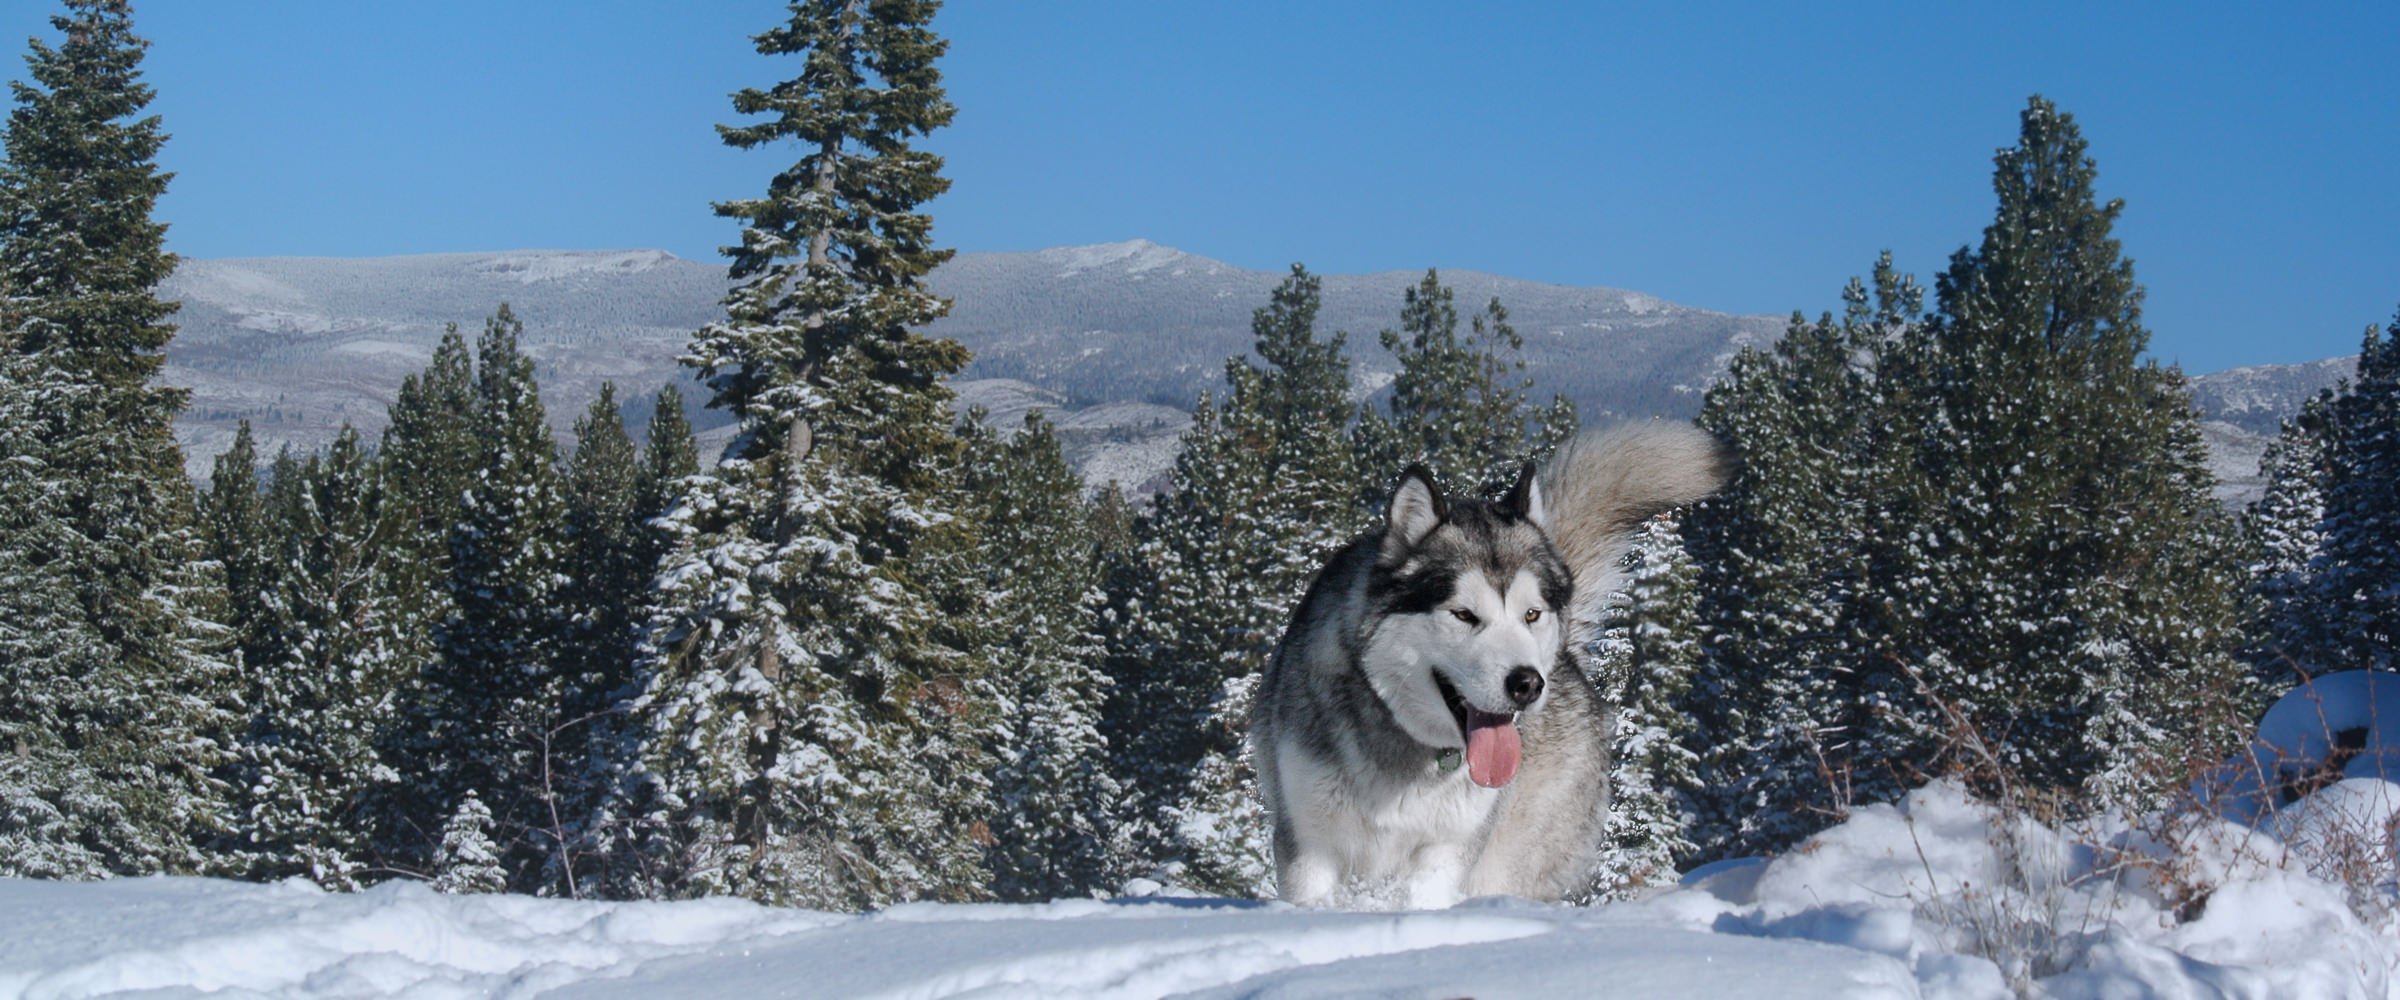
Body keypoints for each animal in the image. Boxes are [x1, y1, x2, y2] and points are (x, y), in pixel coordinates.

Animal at [1248, 422, 1737, 901]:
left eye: (1531, 614)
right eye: (1464, 614)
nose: (1527, 684)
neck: (1409, 743)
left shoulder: (1446, 853)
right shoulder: (1310, 849)